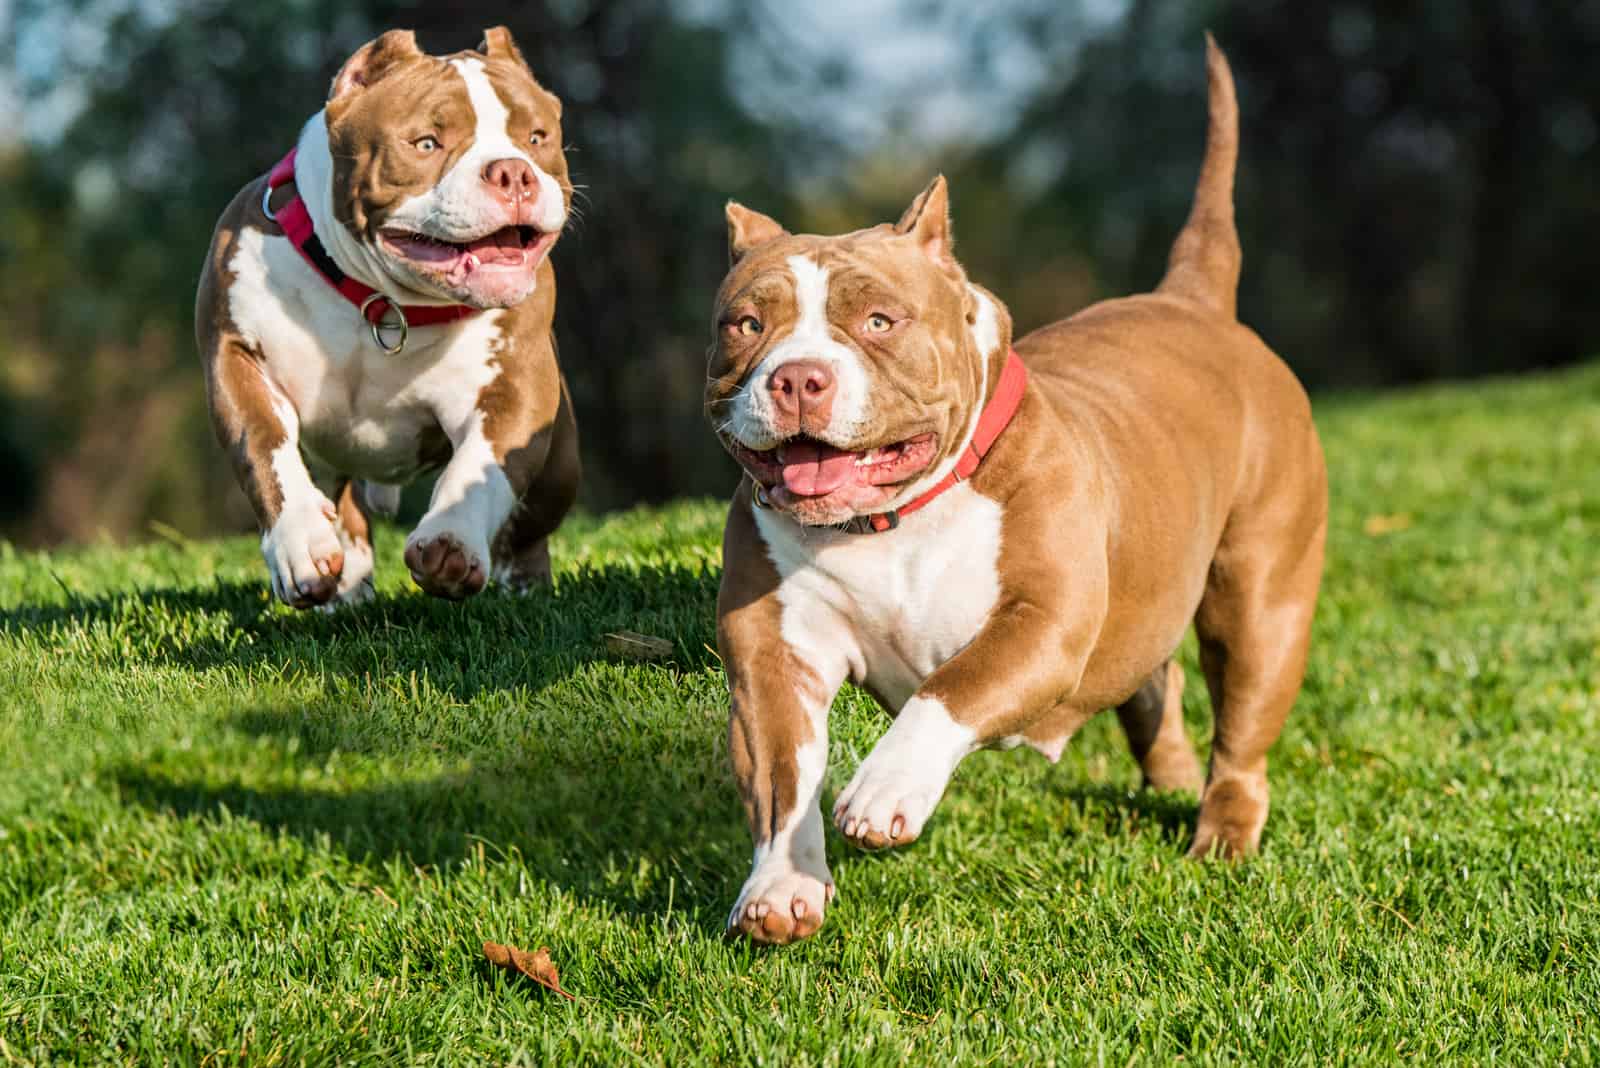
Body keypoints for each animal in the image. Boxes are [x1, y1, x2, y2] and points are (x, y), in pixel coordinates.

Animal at [194, 27, 579, 607]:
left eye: (536, 137)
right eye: (426, 144)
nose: (513, 172)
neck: (382, 301)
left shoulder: (514, 385)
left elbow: (483, 464)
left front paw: (451, 542)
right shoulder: (237, 356)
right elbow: (265, 446)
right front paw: (301, 544)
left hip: (560, 467)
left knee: (529, 528)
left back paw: (522, 585)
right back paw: (346, 587)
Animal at [710, 39, 1324, 940]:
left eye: (880, 321)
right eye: (747, 325)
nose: (796, 379)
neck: (890, 522)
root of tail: (1192, 300)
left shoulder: (1042, 621)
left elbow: (952, 687)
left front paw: (886, 789)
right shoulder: (774, 654)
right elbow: (784, 778)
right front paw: (782, 885)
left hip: (1260, 602)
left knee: (1242, 726)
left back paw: (1222, 835)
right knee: (1153, 683)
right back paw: (1173, 778)